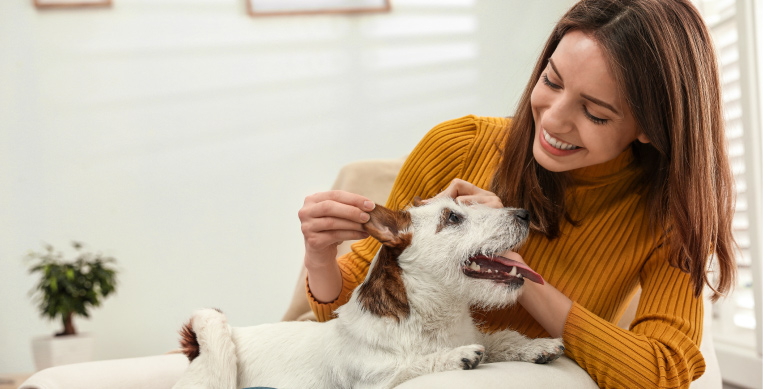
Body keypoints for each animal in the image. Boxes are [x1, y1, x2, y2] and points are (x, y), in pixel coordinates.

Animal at [175, 197, 568, 388]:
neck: (433, 319)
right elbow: (413, 365)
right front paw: (456, 357)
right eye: (453, 218)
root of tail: (196, 347)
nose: (524, 213)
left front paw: (536, 345)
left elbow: (501, 339)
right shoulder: (375, 382)